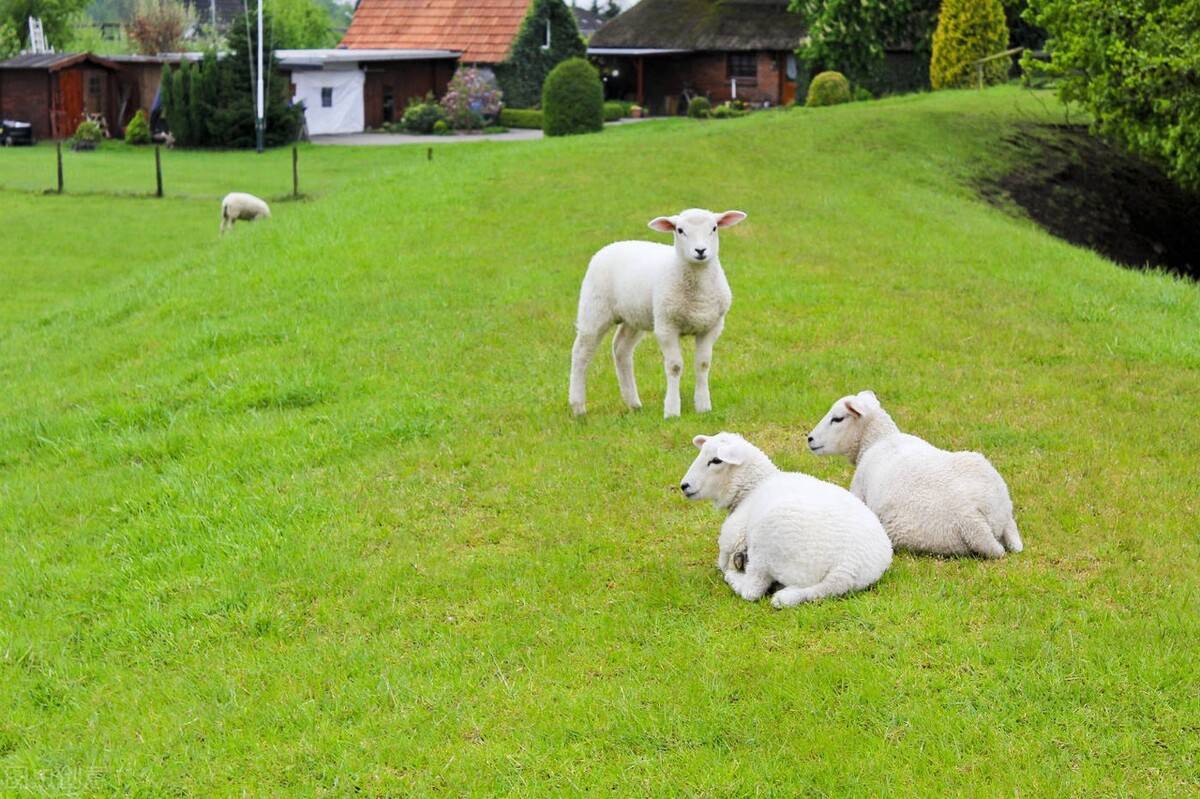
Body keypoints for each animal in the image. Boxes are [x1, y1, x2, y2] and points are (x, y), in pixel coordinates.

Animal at [566, 205, 744, 417]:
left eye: (714, 228)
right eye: (680, 230)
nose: (700, 251)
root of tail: (615, 244)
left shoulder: (711, 327)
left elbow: (702, 364)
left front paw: (703, 406)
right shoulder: (666, 326)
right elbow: (674, 367)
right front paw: (672, 410)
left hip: (634, 316)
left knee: (621, 349)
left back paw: (633, 403)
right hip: (594, 308)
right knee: (581, 353)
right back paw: (578, 407)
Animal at [681, 431, 897, 607]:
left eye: (716, 461)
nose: (684, 485)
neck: (753, 487)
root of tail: (846, 568)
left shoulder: (732, 536)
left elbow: (723, 562)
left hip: (766, 544)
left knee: (753, 589)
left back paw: (735, 574)